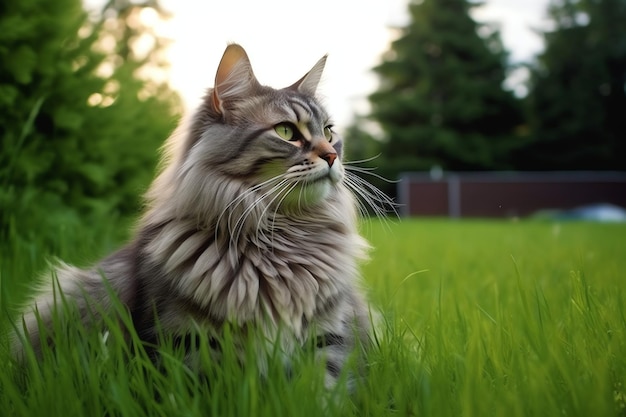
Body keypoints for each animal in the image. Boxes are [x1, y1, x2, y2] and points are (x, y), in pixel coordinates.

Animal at [14, 44, 382, 388]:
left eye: (330, 132)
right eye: (286, 132)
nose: (333, 155)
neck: (282, 236)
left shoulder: (328, 334)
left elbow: (323, 391)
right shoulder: (187, 341)